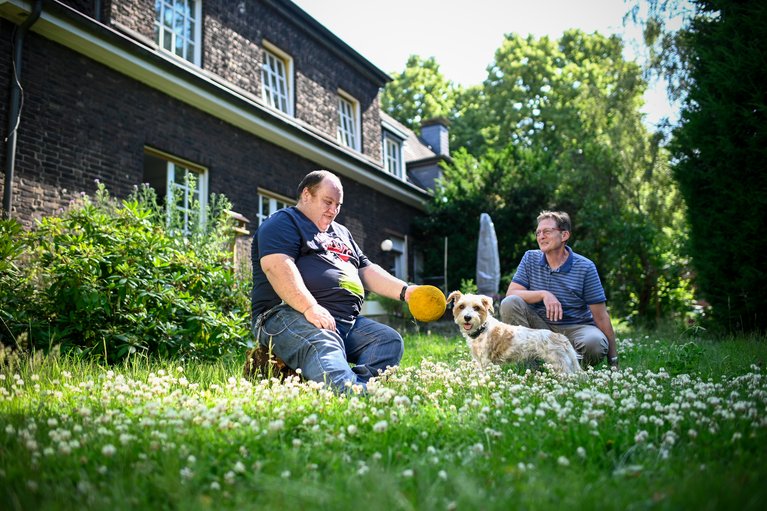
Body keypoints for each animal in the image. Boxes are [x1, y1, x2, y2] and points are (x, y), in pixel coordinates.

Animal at [448, 292, 580, 376]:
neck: (482, 329)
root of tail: (561, 337)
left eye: (476, 307)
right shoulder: (478, 360)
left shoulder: (485, 361)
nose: (467, 317)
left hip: (560, 365)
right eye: (461, 306)